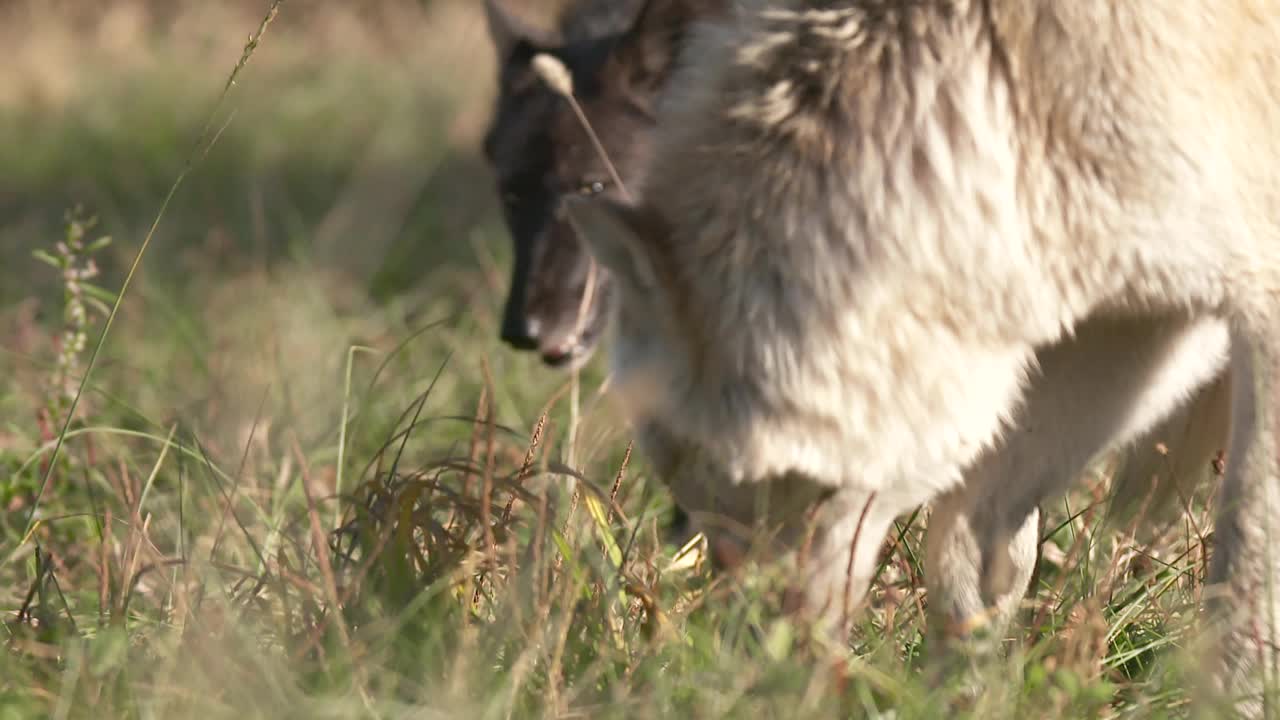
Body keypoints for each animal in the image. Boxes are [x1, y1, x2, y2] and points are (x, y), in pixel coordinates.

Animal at [570, 0, 1280, 707]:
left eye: (819, 494)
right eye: (688, 498)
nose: (761, 669)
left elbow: (1246, 565)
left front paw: (1235, 703)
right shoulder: (1123, 315)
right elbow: (969, 551)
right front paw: (961, 698)